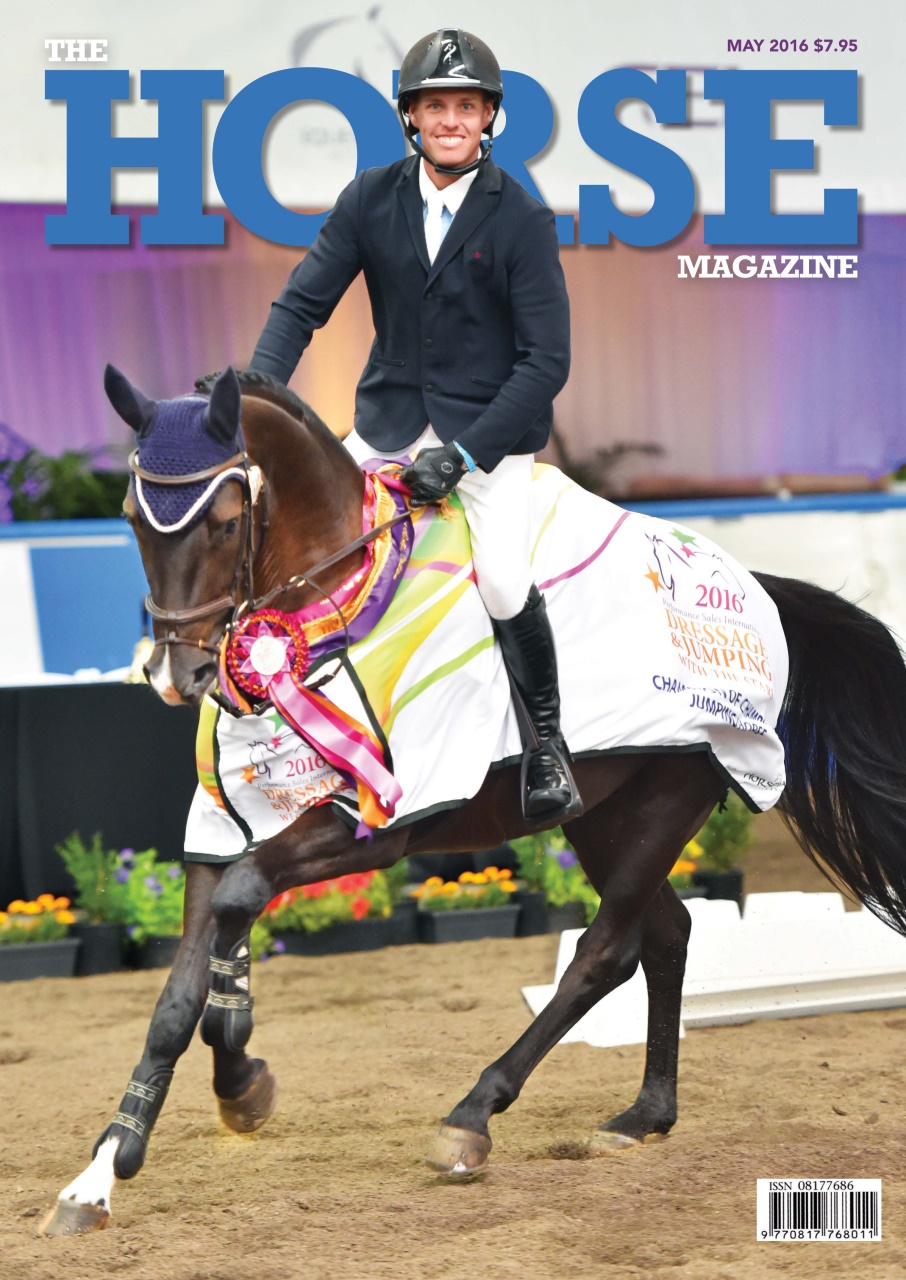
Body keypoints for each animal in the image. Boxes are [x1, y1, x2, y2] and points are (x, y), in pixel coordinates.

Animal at [40, 365, 906, 1235]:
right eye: (130, 519)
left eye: (222, 524)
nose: (174, 676)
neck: (328, 612)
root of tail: (757, 589)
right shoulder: (221, 827)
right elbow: (180, 991)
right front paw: (105, 1172)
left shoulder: (376, 822)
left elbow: (242, 898)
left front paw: (239, 1071)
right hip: (606, 815)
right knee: (666, 936)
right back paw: (643, 1116)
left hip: (668, 797)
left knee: (606, 952)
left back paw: (472, 1116)